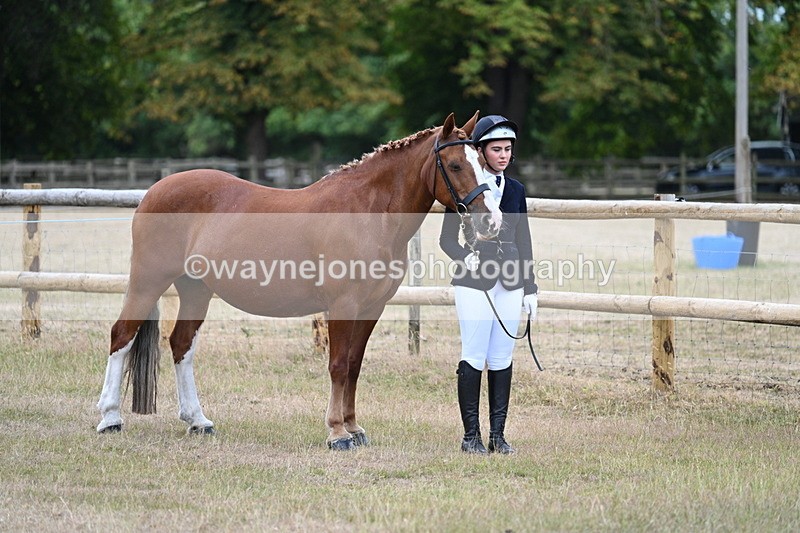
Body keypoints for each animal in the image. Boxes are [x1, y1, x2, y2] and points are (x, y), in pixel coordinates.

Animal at [95, 112, 502, 450]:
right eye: (455, 164)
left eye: (484, 163)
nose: (490, 222)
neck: (368, 212)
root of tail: (155, 190)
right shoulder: (343, 305)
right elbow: (338, 365)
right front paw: (337, 433)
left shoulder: (372, 307)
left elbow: (354, 366)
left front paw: (354, 428)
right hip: (148, 280)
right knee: (122, 335)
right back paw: (110, 418)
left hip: (196, 289)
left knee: (181, 345)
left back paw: (198, 421)